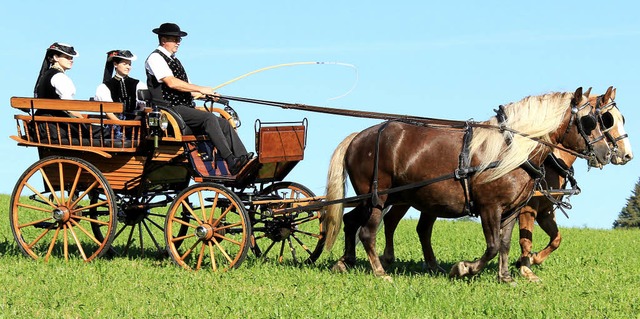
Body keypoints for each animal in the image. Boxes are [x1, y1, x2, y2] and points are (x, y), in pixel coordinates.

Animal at [322, 87, 612, 280]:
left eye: (601, 120)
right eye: (589, 121)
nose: (606, 153)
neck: (512, 150)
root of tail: (359, 136)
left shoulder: (512, 210)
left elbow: (504, 244)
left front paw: (506, 277)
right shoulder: (489, 207)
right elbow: (493, 246)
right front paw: (464, 268)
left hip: (379, 198)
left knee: (350, 221)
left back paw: (345, 262)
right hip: (377, 197)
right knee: (367, 232)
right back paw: (381, 272)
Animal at [512, 85, 632, 282]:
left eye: (622, 118)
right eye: (607, 119)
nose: (628, 155)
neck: (551, 160)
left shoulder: (545, 210)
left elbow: (556, 239)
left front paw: (532, 259)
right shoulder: (528, 208)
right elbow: (525, 240)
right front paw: (526, 270)